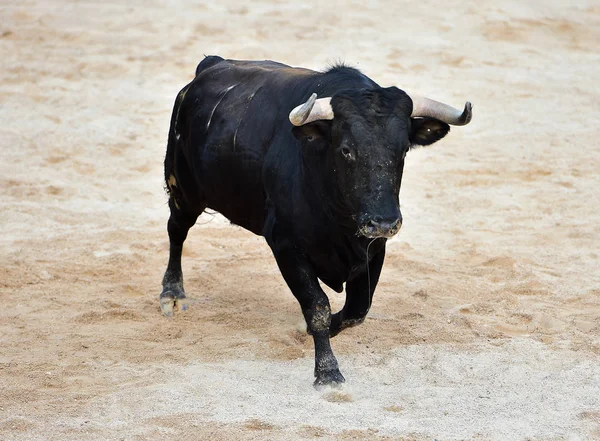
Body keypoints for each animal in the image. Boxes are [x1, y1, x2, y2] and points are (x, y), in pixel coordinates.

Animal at [161, 55, 474, 384]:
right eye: (346, 149)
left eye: (403, 150)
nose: (384, 223)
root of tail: (210, 65)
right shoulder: (286, 245)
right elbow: (318, 306)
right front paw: (327, 370)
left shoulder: (373, 249)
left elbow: (357, 310)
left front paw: (311, 331)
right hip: (182, 188)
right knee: (176, 231)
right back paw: (172, 294)